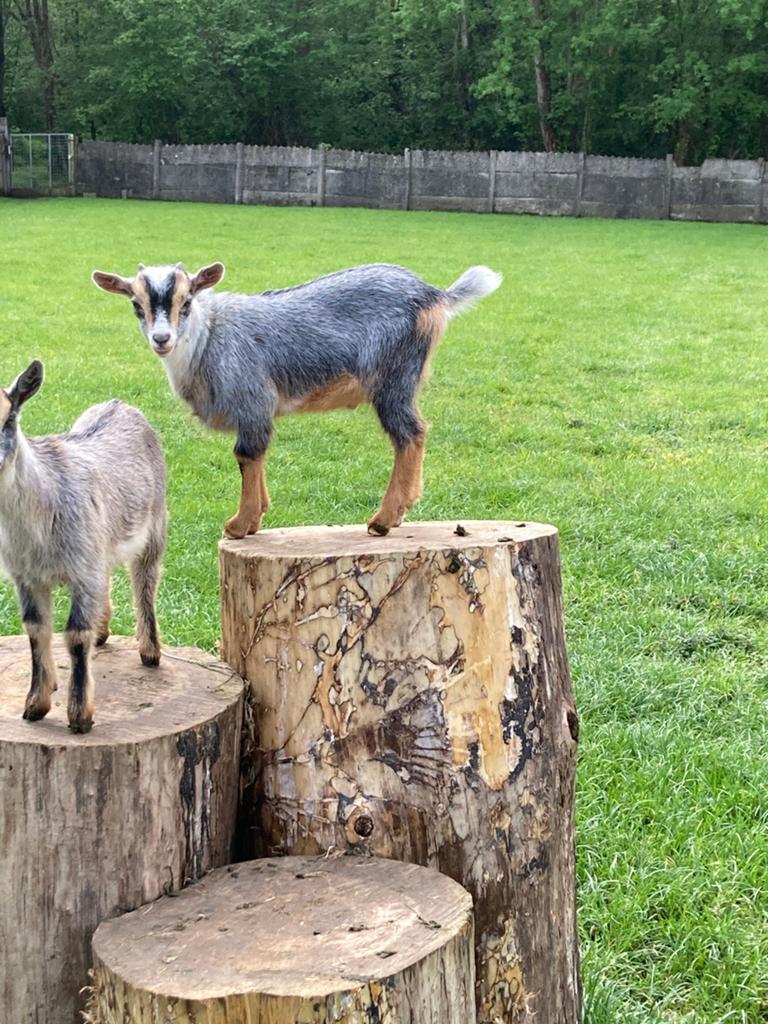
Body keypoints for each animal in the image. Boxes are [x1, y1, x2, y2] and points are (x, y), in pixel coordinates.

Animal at [0, 361, 166, 733]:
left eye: (9, 418)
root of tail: (119, 403)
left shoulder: (82, 570)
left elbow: (75, 635)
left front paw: (79, 716)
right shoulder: (26, 576)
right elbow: (36, 630)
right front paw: (37, 702)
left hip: (155, 524)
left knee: (145, 581)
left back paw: (150, 652)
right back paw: (103, 633)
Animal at [92, 261, 501, 538]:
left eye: (187, 300)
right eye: (136, 304)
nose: (161, 339)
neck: (209, 338)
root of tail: (436, 294)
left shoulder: (252, 400)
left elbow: (246, 455)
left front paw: (239, 524)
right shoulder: (257, 412)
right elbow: (255, 458)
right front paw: (257, 518)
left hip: (394, 377)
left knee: (410, 433)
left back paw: (383, 520)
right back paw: (399, 512)